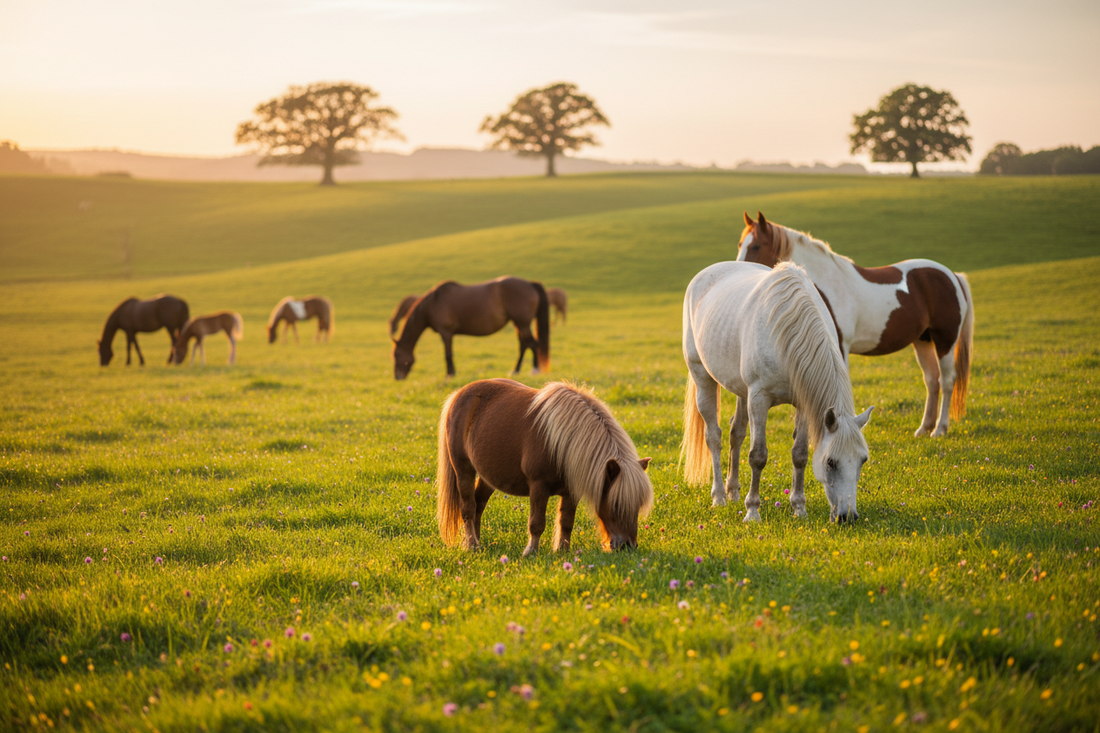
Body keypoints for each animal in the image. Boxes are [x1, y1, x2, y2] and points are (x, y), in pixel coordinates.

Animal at [392, 276, 550, 380]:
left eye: (396, 355)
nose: (397, 377)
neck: (433, 303)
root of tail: (530, 284)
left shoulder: (446, 333)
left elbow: (448, 354)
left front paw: (450, 374)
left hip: (522, 323)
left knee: (533, 343)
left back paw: (534, 370)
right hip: (518, 323)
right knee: (524, 344)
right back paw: (515, 371)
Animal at [436, 379, 654, 555]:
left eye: (638, 505)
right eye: (616, 505)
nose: (628, 546)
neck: (561, 442)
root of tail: (459, 394)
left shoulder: (571, 492)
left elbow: (566, 522)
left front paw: (563, 551)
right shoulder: (538, 487)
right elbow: (537, 523)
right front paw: (531, 552)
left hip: (488, 477)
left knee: (479, 504)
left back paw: (476, 542)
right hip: (463, 469)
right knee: (468, 508)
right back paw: (473, 545)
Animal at [681, 261, 874, 522]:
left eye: (863, 460)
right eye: (831, 462)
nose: (847, 516)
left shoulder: (803, 403)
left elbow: (800, 454)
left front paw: (799, 508)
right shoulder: (758, 398)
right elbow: (758, 456)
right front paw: (752, 511)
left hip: (741, 391)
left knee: (735, 433)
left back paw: (733, 492)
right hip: (703, 378)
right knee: (714, 437)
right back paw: (719, 497)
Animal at [737, 212, 973, 437]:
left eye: (756, 246)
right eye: (741, 244)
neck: (826, 286)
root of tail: (952, 275)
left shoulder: (840, 346)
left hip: (945, 340)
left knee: (947, 380)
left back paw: (939, 429)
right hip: (922, 341)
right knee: (932, 380)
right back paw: (924, 428)